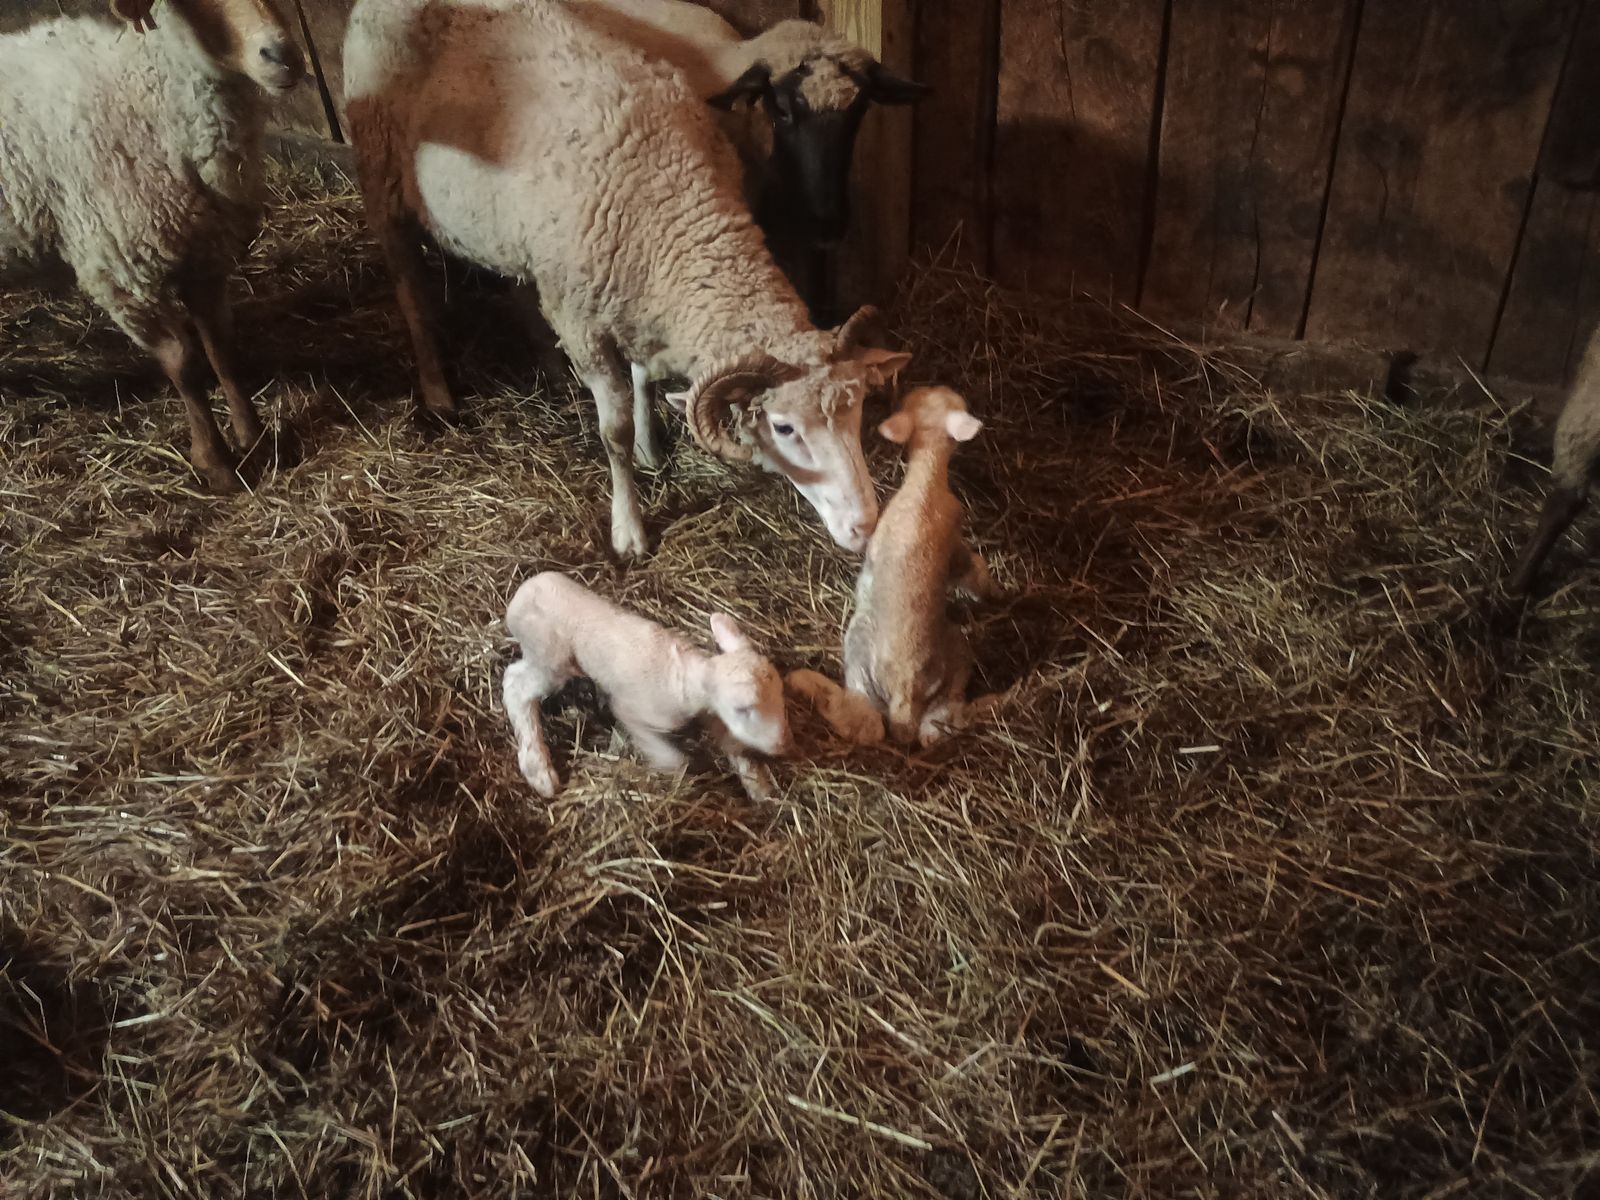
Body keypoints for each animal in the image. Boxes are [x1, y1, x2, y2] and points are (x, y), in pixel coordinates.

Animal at [0, 0, 304, 492]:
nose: (283, 57)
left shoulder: (206, 258)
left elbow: (221, 348)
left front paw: (253, 436)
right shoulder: (123, 272)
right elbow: (183, 363)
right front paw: (216, 463)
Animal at [502, 571, 792, 801]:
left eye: (780, 697)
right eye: (743, 709)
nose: (783, 745)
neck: (682, 677)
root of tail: (518, 597)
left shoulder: (711, 714)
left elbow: (731, 742)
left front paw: (759, 786)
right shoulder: (632, 709)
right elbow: (673, 759)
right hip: (551, 656)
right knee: (515, 684)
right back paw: (539, 771)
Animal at [788, 386, 999, 747]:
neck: (923, 485)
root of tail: (904, 697)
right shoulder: (953, 544)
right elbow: (971, 569)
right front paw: (992, 593)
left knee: (911, 729)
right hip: (940, 656)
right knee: (885, 726)